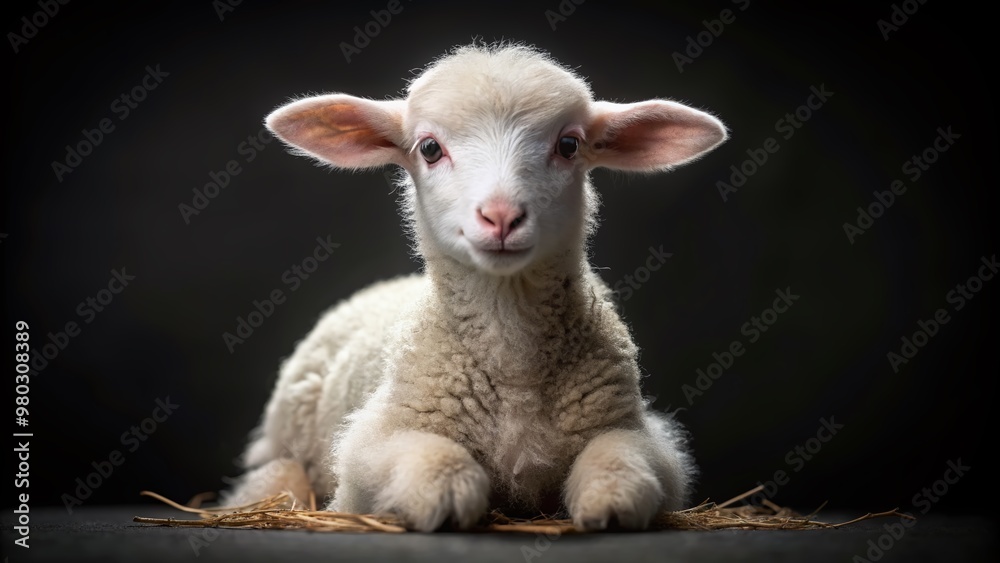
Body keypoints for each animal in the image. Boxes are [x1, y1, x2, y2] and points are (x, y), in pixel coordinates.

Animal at [225, 42, 727, 532]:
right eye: (430, 149)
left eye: (568, 145)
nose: (501, 216)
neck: (514, 369)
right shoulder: (373, 443)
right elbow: (436, 463)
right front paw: (447, 496)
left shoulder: (638, 433)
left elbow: (621, 463)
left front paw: (611, 502)